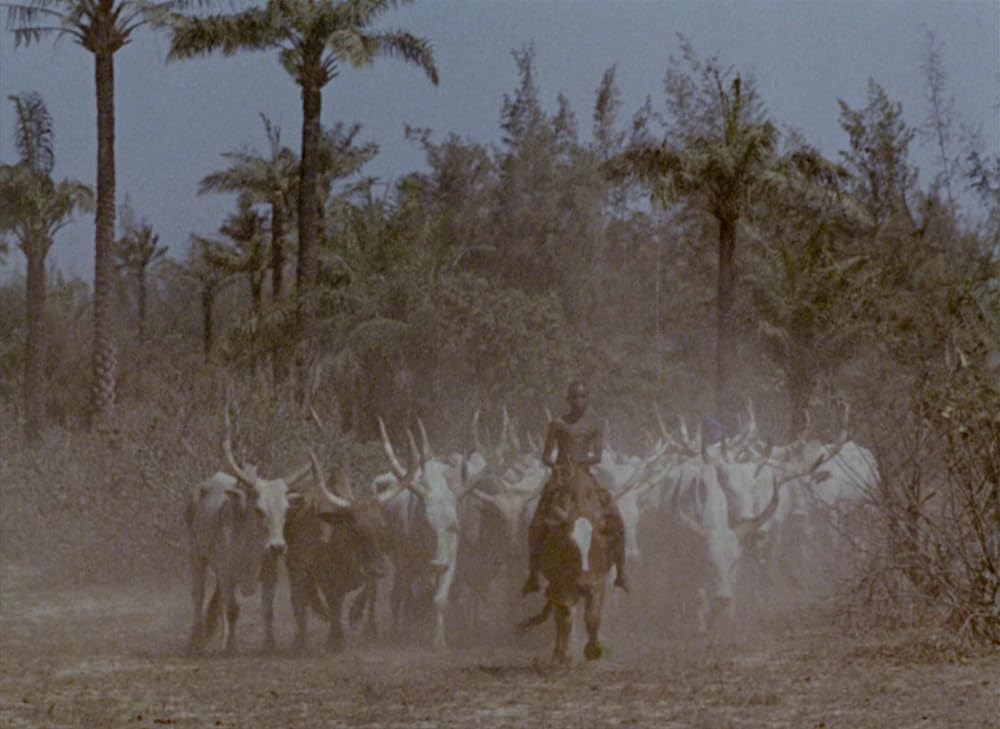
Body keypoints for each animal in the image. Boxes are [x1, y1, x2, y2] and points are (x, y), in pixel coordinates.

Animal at [183, 410, 308, 656]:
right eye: (258, 509)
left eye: (286, 510)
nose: (277, 547)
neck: (250, 546)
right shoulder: (227, 572)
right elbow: (233, 609)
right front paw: (232, 647)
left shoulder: (269, 573)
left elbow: (267, 610)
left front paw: (269, 645)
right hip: (197, 557)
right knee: (198, 597)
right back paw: (197, 641)